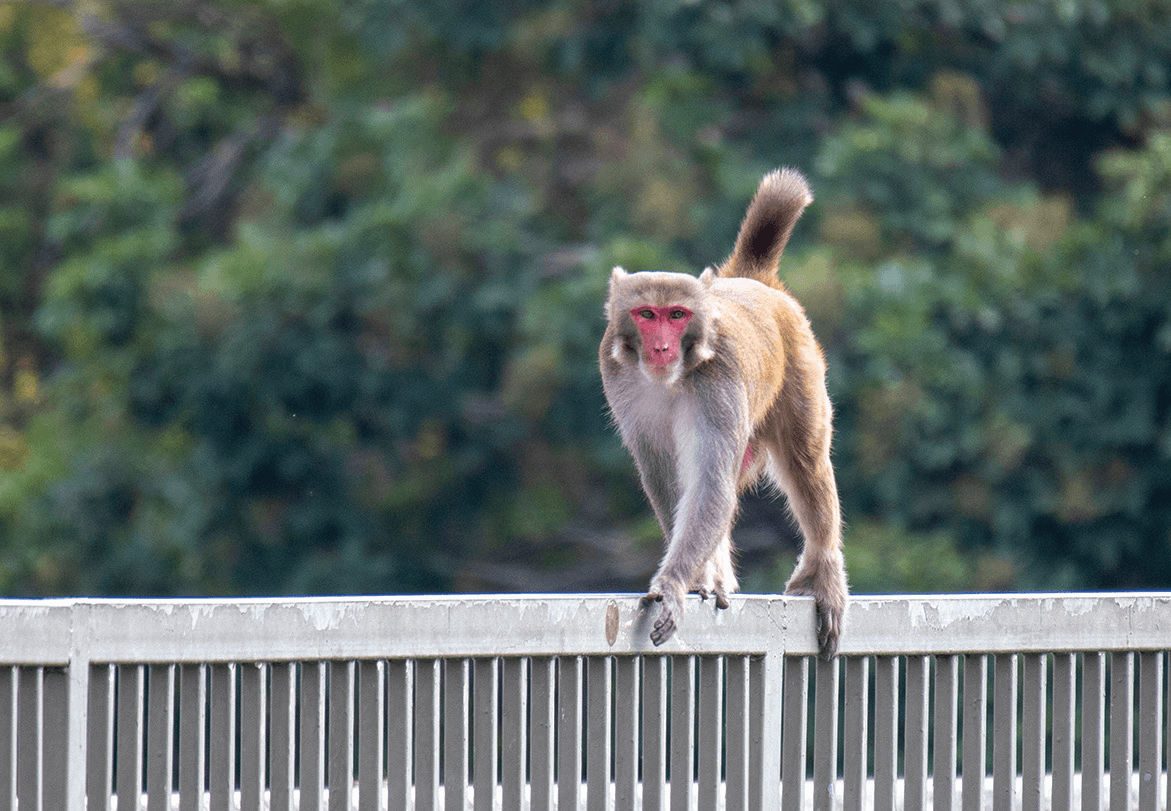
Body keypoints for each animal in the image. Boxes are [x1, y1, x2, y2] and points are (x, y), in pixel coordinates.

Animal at [598, 167, 847, 658]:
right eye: (646, 314)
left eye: (677, 315)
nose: (661, 347)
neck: (673, 377)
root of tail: (754, 281)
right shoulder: (617, 379)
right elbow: (667, 477)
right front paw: (699, 578)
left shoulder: (719, 384)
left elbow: (710, 482)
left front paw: (674, 584)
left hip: (802, 368)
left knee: (806, 462)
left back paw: (823, 571)